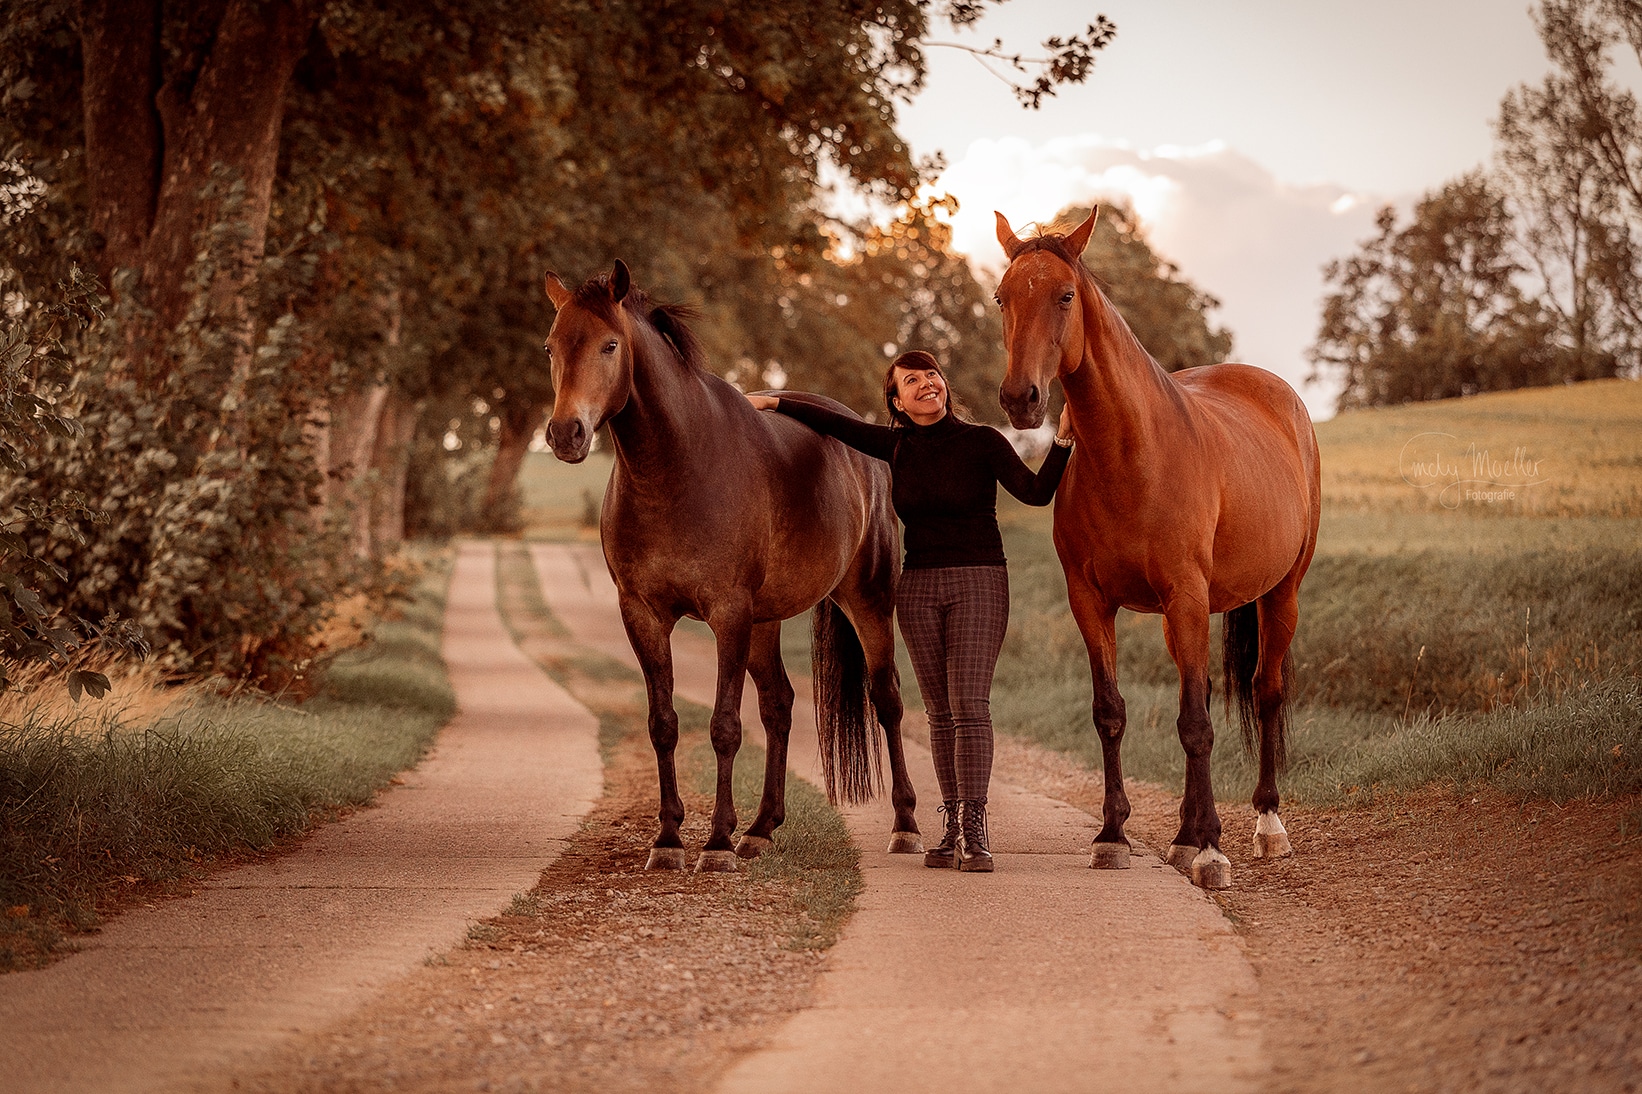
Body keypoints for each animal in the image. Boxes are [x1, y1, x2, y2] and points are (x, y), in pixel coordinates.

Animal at [542, 259, 923, 871]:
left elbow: (724, 726)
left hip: (865, 600)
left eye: (610, 344)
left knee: (886, 700)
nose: (564, 434)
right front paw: (668, 838)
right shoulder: (642, 613)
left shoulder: (727, 613)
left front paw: (716, 841)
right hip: (766, 621)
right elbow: (664, 724)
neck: (676, 468)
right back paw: (762, 828)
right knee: (780, 705)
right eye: (550, 347)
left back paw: (905, 825)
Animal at [992, 209, 1321, 889]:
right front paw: (1113, 834)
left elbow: (1196, 725)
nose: (1020, 399)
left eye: (1066, 296)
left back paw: (1264, 825)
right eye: (1002, 298)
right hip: (1184, 618)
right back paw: (1184, 834)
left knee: (1265, 692)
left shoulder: (1186, 596)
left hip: (1280, 594)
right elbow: (1111, 712)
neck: (1132, 456)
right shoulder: (1091, 602)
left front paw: (1214, 851)